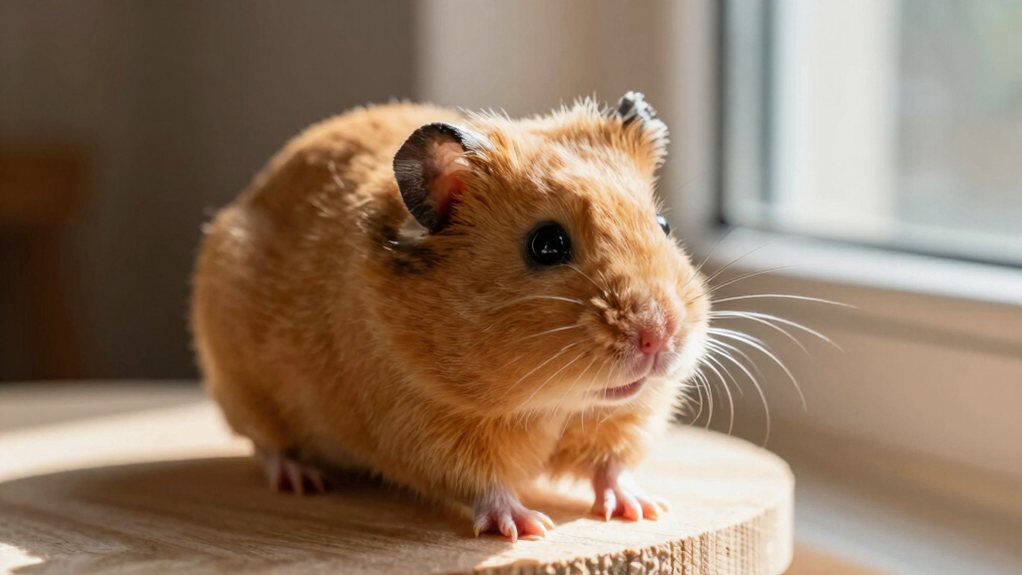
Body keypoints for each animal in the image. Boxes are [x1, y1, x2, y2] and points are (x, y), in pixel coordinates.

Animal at [190, 92, 710, 541]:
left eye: (663, 226)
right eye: (547, 245)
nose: (659, 336)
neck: (553, 403)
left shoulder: (625, 418)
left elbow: (612, 466)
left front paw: (644, 510)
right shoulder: (427, 427)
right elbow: (485, 485)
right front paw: (528, 527)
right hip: (242, 388)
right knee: (265, 445)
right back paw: (302, 480)